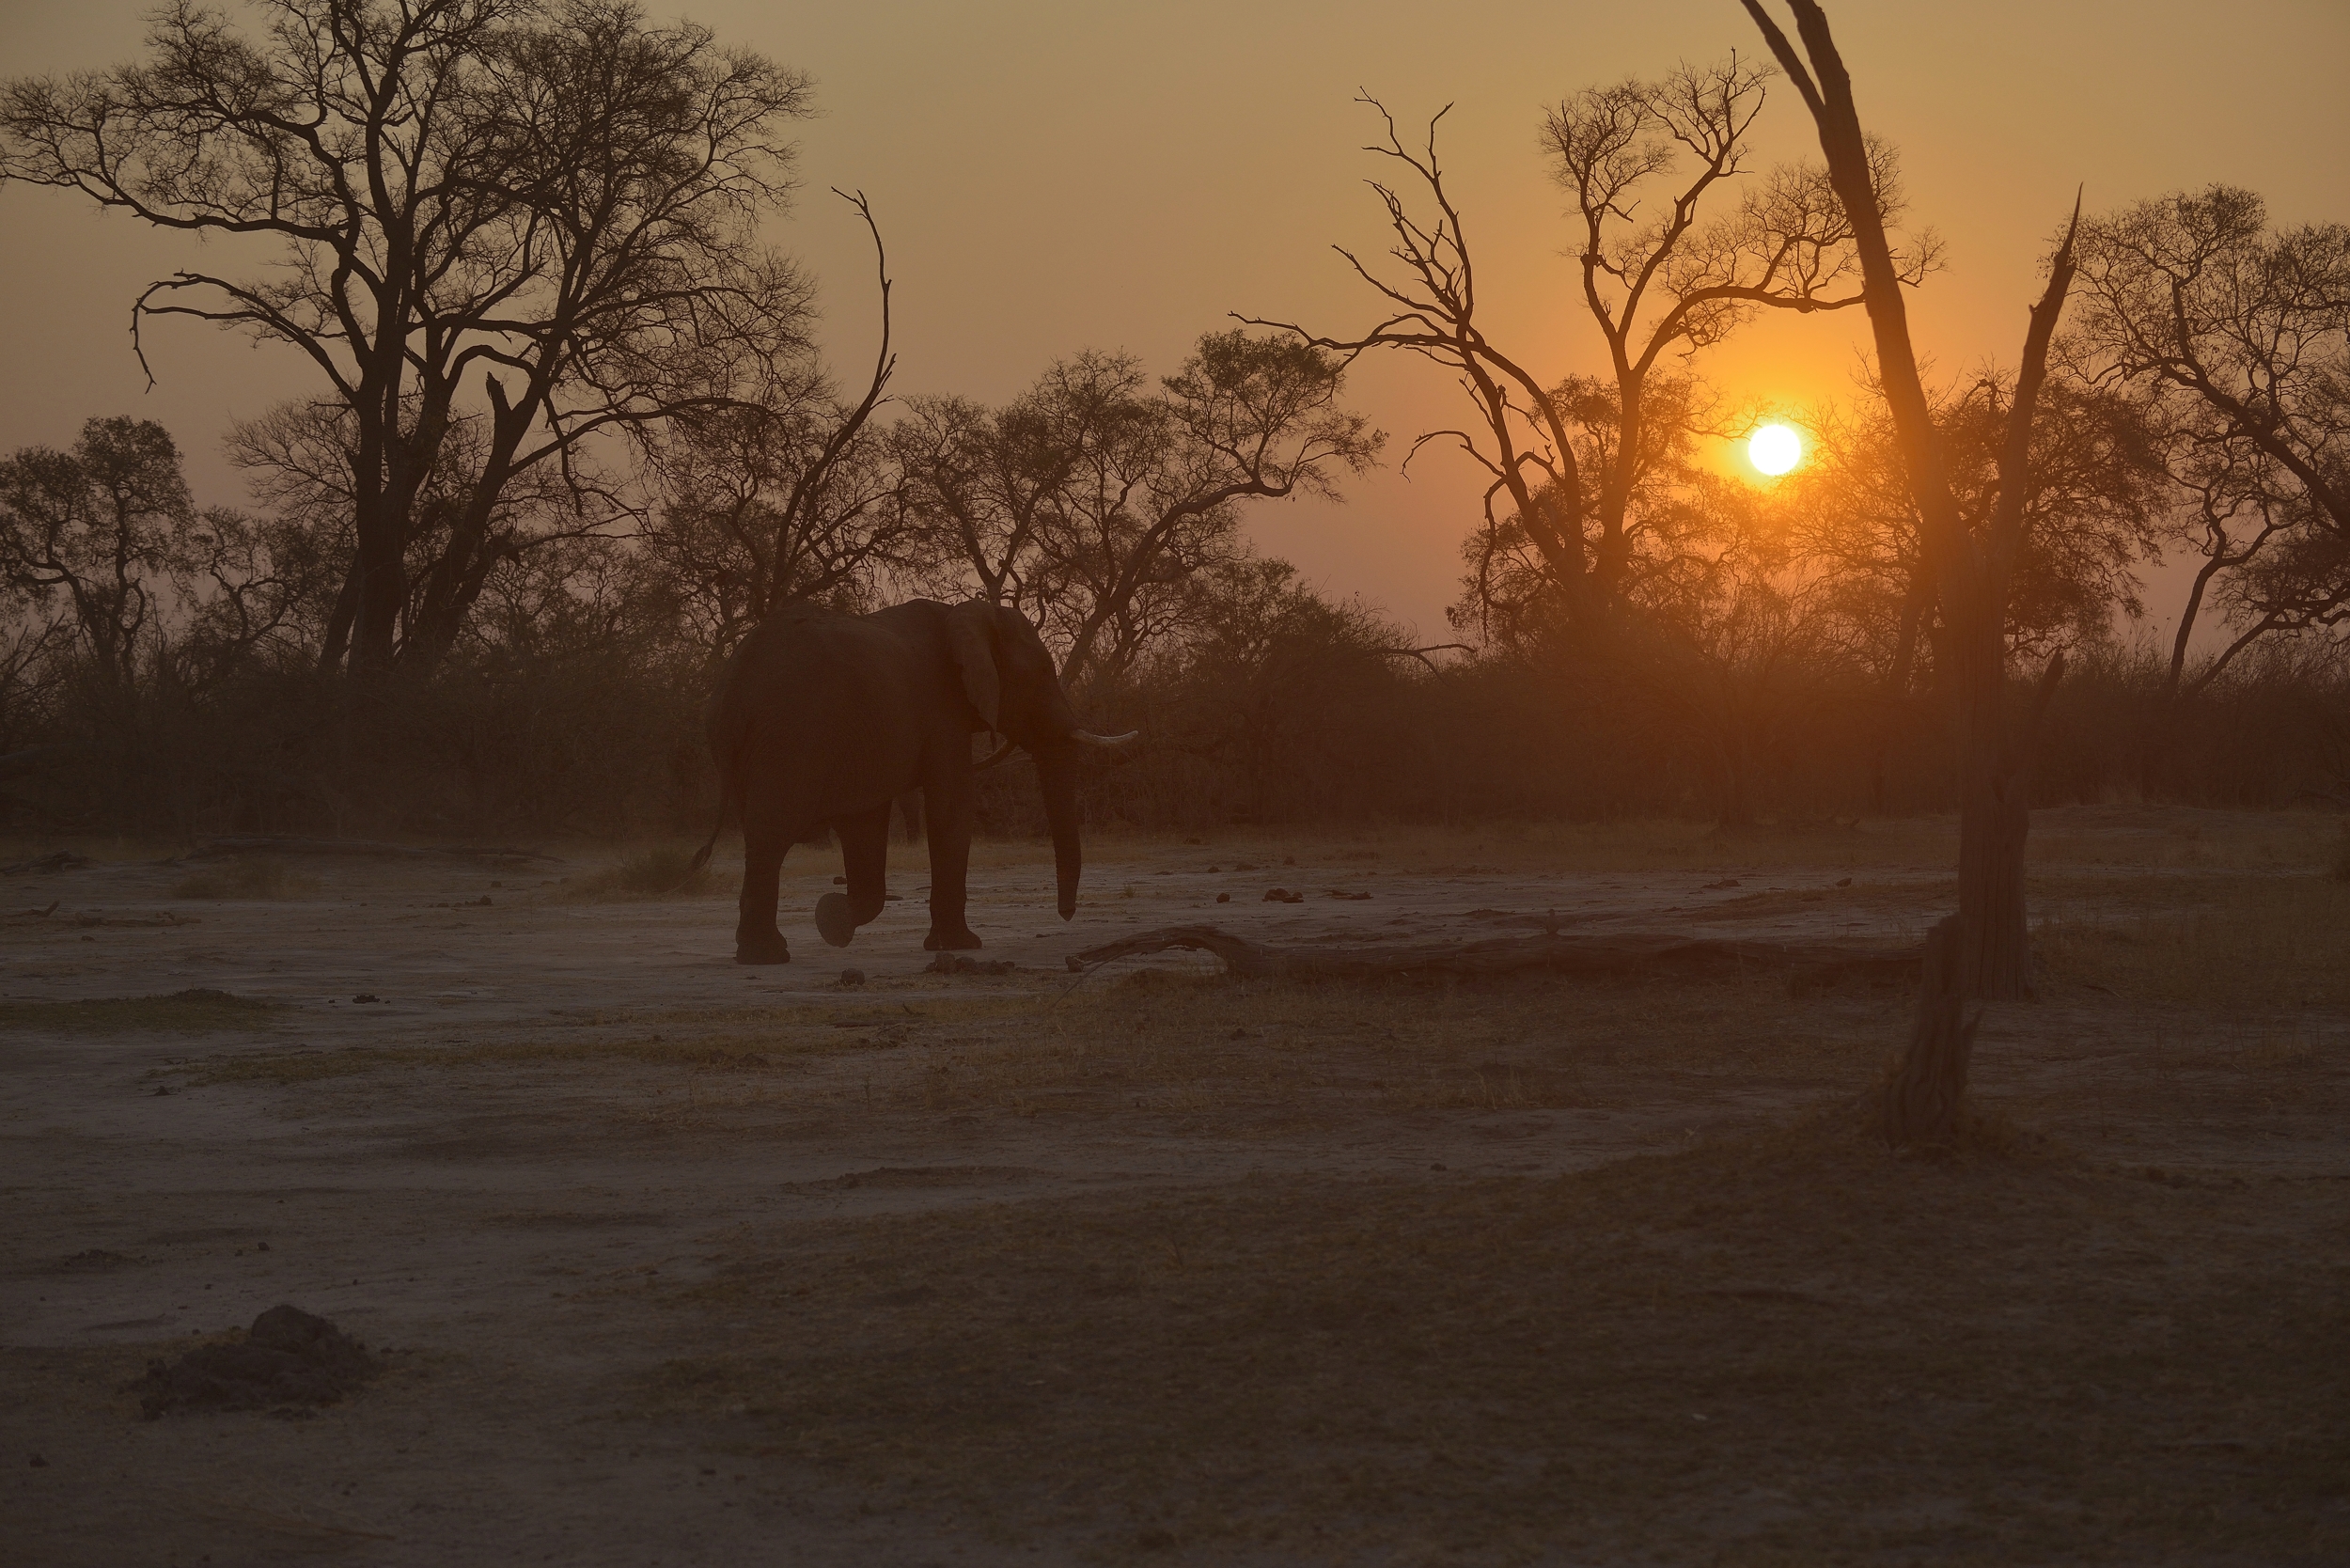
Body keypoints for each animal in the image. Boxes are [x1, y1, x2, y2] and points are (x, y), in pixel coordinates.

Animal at [688, 598, 1134, 964]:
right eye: (1042, 673)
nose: (1067, 915)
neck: (969, 613)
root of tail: (733, 683)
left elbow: (865, 824)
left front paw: (831, 919)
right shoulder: (942, 712)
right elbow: (951, 808)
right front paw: (961, 945)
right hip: (786, 737)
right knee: (771, 834)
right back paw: (766, 956)